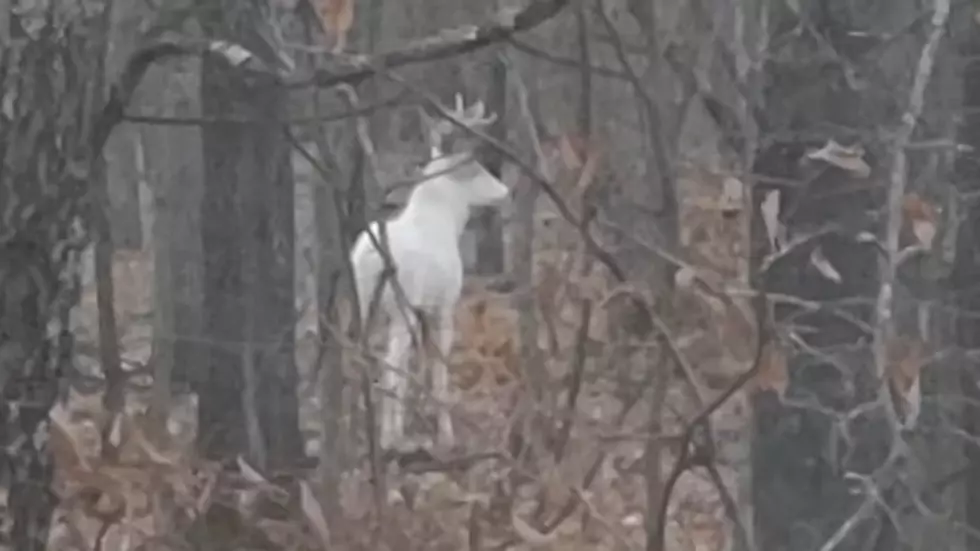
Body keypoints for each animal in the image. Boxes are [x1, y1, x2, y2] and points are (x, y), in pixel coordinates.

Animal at [350, 95, 506, 450]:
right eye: (474, 167)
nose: (505, 190)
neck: (446, 221)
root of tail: (370, 260)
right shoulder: (444, 302)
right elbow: (438, 366)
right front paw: (445, 435)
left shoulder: (421, 311)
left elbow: (417, 366)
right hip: (400, 304)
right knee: (391, 365)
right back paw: (388, 439)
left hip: (365, 306)